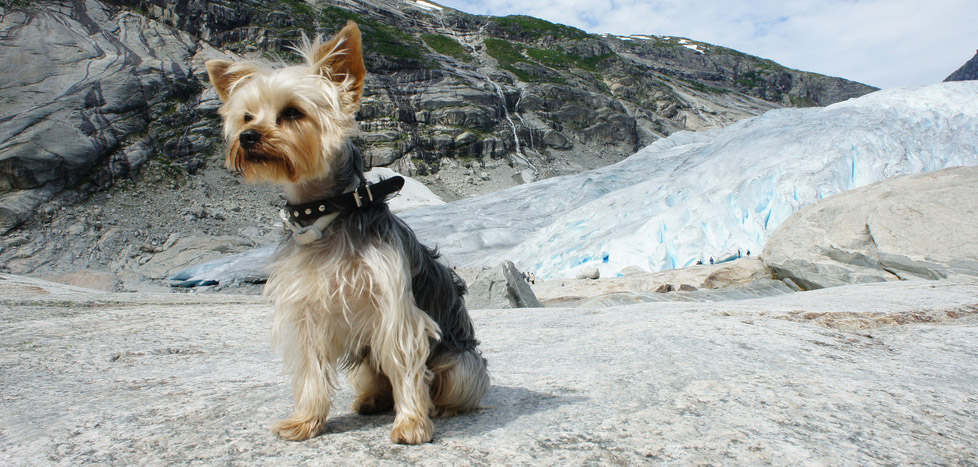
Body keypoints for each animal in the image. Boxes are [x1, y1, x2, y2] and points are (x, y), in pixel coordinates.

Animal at [206, 22, 488, 446]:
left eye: (292, 112)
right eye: (246, 116)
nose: (248, 137)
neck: (325, 212)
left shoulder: (395, 309)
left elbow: (406, 364)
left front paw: (412, 424)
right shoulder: (305, 311)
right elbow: (310, 370)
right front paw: (305, 421)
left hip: (461, 365)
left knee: (444, 384)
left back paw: (436, 408)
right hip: (366, 364)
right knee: (378, 382)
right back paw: (372, 400)